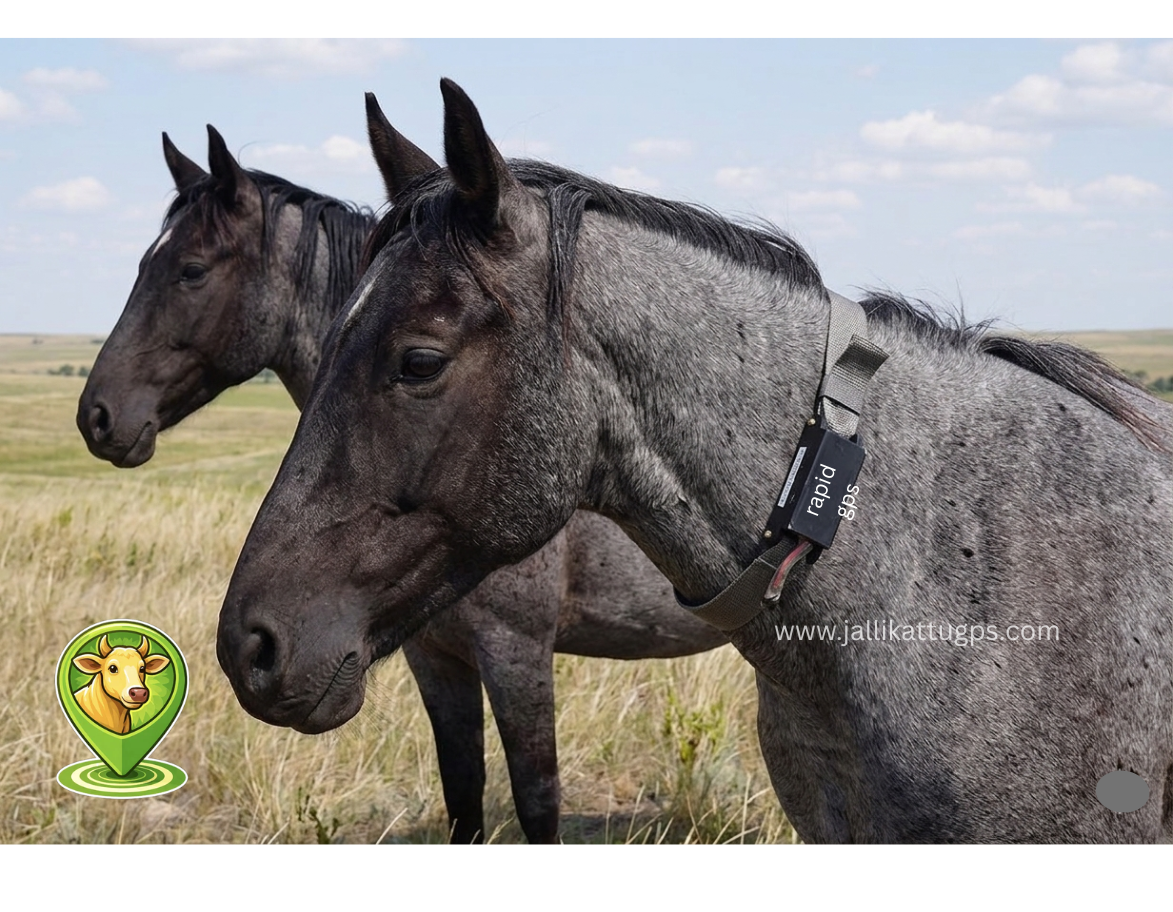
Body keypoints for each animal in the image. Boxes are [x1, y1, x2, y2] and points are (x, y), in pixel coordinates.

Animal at [77, 119, 725, 843]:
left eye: (191, 270)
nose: (98, 415)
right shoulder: (434, 659)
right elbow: (462, 791)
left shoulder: (517, 653)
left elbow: (536, 800)